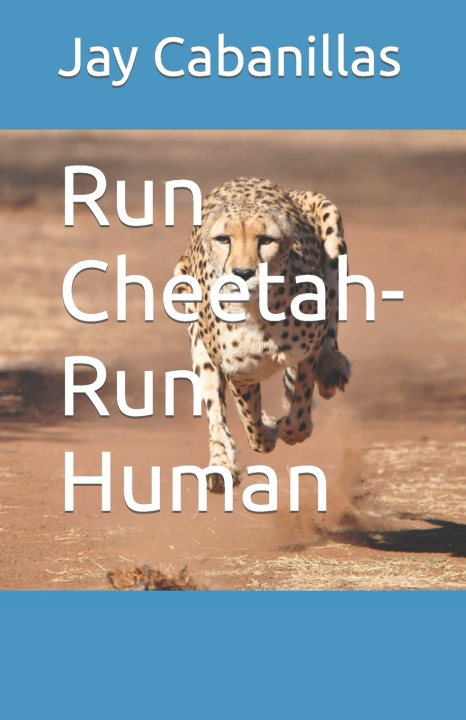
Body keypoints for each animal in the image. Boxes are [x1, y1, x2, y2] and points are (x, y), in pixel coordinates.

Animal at [174, 176, 351, 492]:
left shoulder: (310, 347)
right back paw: (220, 465)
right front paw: (267, 431)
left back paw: (332, 369)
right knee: (215, 410)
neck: (258, 313)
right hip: (196, 335)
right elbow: (250, 421)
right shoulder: (238, 372)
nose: (243, 273)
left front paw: (288, 427)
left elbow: (299, 412)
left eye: (266, 240)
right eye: (224, 239)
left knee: (333, 310)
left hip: (331, 230)